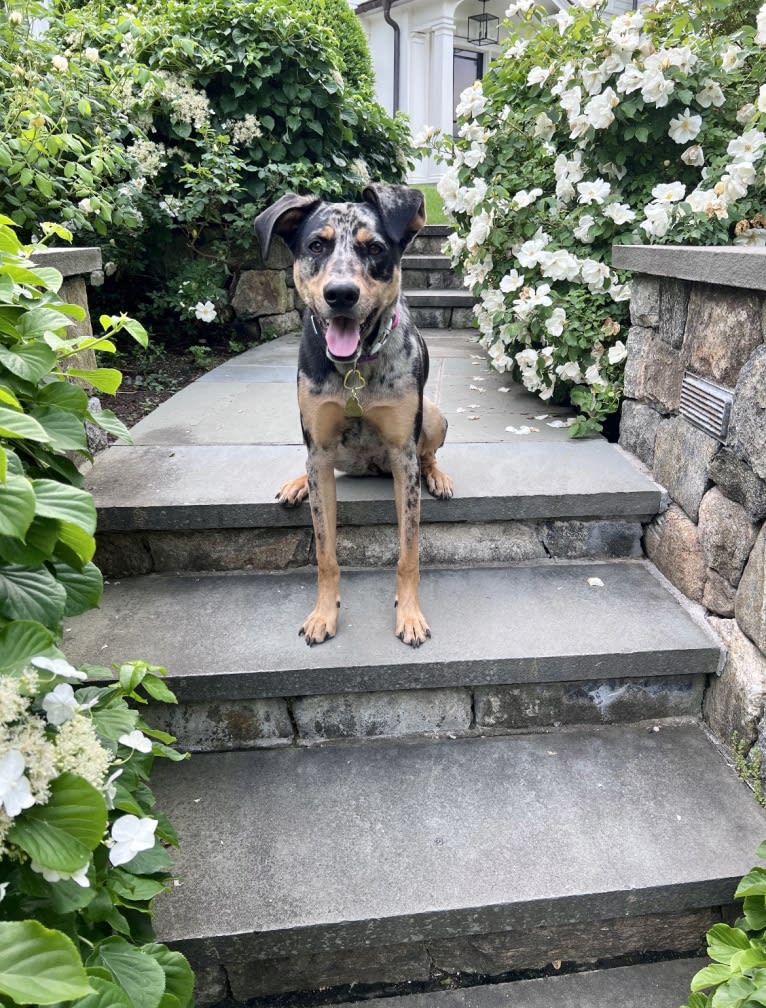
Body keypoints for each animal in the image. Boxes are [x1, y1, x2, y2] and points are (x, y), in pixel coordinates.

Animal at [253, 185, 451, 649]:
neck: (355, 368)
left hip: (433, 416)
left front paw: (409, 615)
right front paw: (323, 614)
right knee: (311, 466)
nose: (341, 294)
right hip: (324, 454)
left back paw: (438, 476)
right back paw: (296, 484)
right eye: (316, 245)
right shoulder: (321, 445)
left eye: (374, 248)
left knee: (429, 453)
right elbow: (325, 552)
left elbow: (408, 552)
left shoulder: (402, 455)